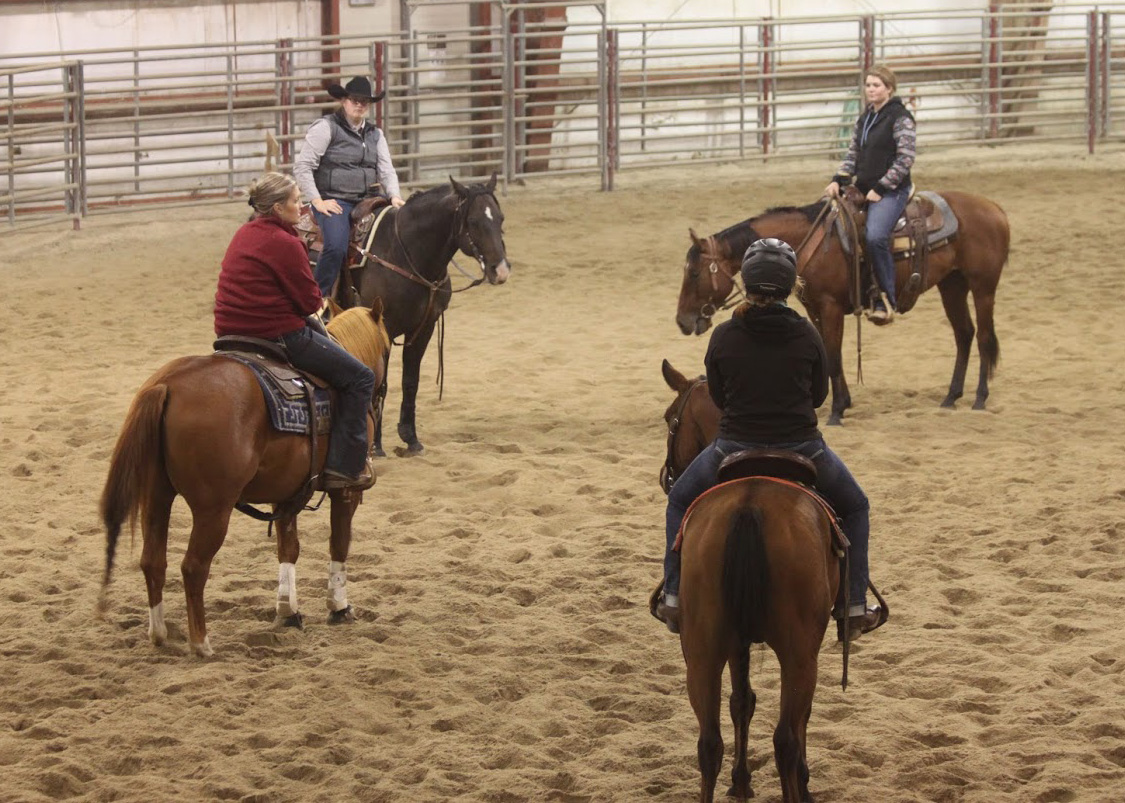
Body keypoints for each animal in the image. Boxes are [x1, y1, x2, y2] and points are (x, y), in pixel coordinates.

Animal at [97, 303, 396, 652]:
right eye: (388, 348)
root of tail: (168, 384)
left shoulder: (288, 493)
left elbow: (288, 548)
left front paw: (288, 612)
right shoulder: (347, 490)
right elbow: (339, 543)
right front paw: (339, 607)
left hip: (156, 496)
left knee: (152, 562)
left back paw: (159, 633)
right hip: (213, 509)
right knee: (193, 567)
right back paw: (201, 643)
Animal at [351, 173, 510, 454]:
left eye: (500, 219)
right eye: (473, 222)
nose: (500, 270)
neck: (403, 252)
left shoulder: (424, 328)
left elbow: (410, 381)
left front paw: (410, 438)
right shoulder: (383, 328)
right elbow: (382, 382)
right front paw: (377, 445)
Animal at [657, 357, 846, 800]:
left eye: (670, 418)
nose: (666, 476)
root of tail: (749, 504)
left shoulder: (736, 639)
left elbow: (741, 700)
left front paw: (740, 782)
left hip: (704, 645)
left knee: (709, 742)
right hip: (798, 650)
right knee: (787, 738)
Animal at [675, 190, 1012, 422]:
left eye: (694, 273)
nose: (682, 321)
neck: (812, 243)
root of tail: (994, 208)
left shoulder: (831, 306)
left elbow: (834, 356)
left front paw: (837, 411)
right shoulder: (814, 308)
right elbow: (826, 352)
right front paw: (841, 402)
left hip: (982, 287)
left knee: (984, 337)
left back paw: (979, 398)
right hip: (952, 285)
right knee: (964, 334)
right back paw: (951, 397)